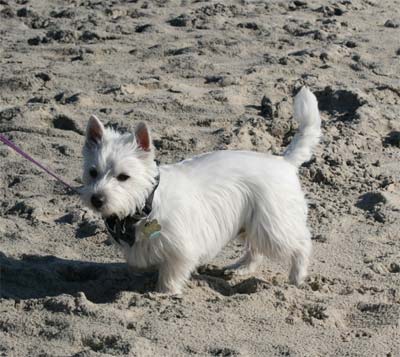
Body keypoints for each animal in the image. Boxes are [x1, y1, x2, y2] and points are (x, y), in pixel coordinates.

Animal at [79, 86, 320, 292]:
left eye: (123, 177)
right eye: (92, 172)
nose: (96, 199)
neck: (146, 204)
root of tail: (284, 161)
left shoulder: (181, 249)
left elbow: (170, 276)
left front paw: (163, 294)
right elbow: (141, 266)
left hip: (272, 225)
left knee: (301, 244)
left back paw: (297, 278)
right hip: (251, 222)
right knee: (255, 250)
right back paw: (239, 268)